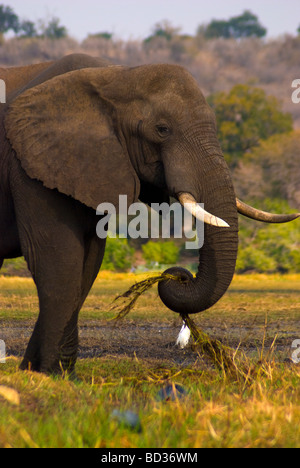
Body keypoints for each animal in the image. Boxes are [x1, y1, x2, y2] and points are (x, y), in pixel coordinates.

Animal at [1, 54, 298, 376]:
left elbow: (87, 265)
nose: (180, 276)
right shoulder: (30, 167)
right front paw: (47, 373)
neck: (115, 75)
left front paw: (49, 372)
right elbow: (58, 262)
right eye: (162, 129)